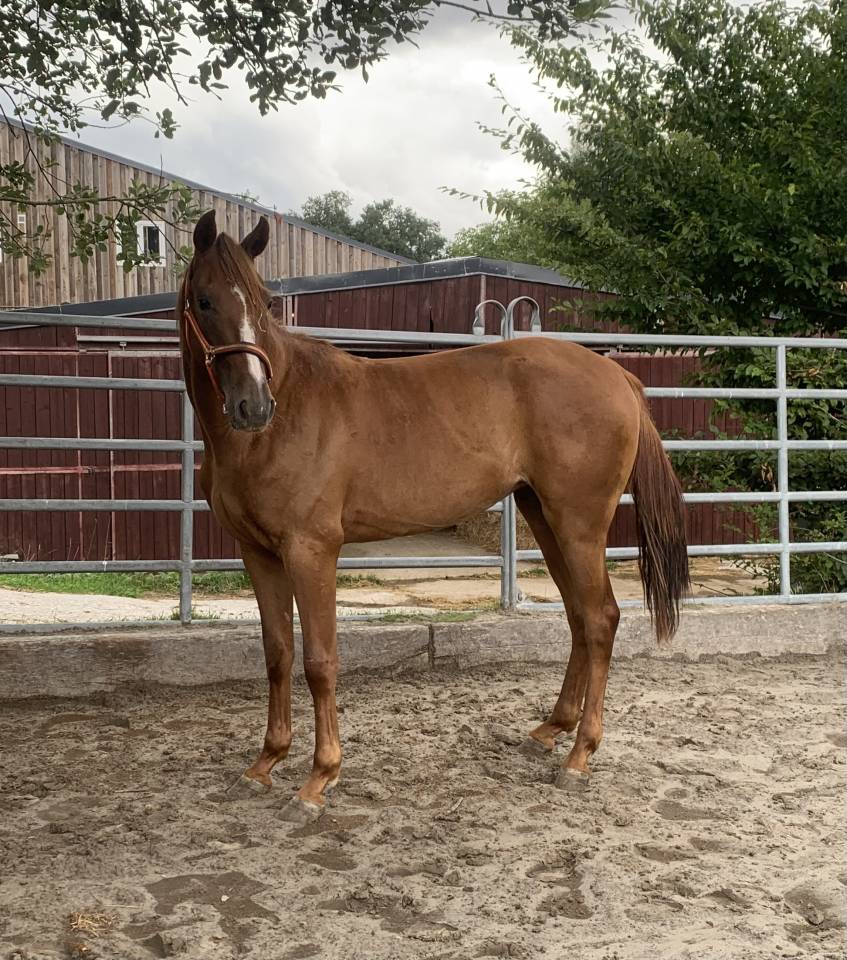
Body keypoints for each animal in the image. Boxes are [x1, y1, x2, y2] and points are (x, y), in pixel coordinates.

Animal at [178, 210, 690, 824]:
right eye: (205, 300)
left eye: (266, 302)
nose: (254, 405)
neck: (276, 426)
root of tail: (620, 378)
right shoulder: (257, 552)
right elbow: (277, 654)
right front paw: (264, 765)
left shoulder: (311, 550)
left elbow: (320, 660)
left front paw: (318, 780)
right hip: (545, 520)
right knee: (578, 618)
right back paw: (551, 730)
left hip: (580, 524)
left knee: (601, 618)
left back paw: (579, 756)